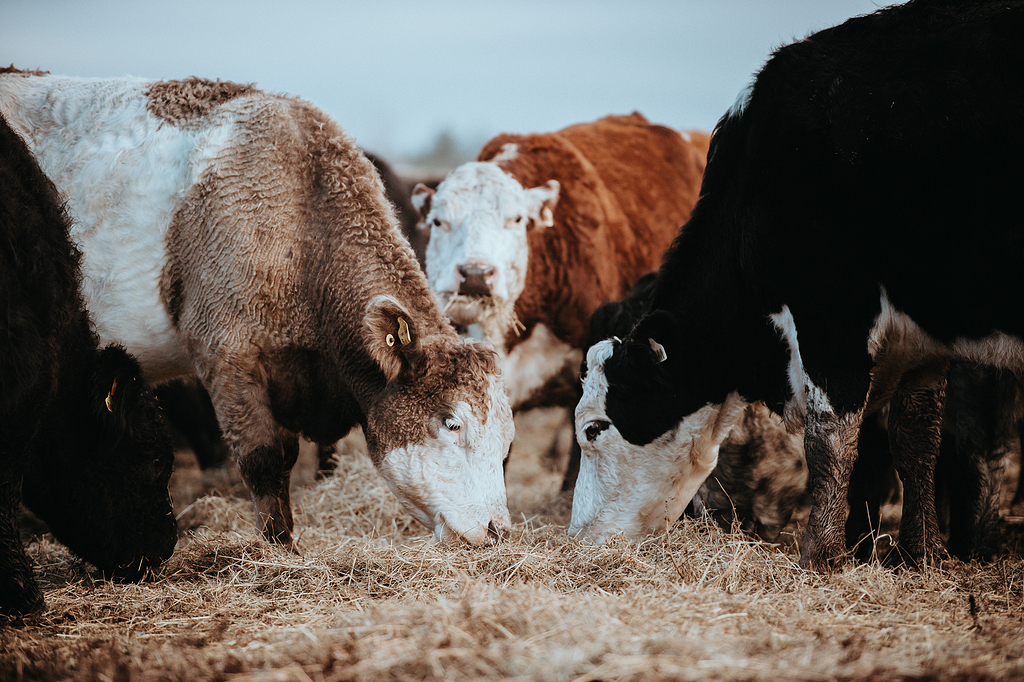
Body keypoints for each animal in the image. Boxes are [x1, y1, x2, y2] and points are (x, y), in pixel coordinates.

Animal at [0, 70, 512, 548]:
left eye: (506, 444)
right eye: (451, 423)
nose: (498, 530)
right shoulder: (225, 354)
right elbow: (265, 460)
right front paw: (279, 549)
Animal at [569, 0, 1024, 569]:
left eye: (594, 427)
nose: (577, 536)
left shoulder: (831, 313)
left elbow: (830, 440)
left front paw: (820, 554)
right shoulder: (922, 347)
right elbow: (917, 438)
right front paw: (921, 554)